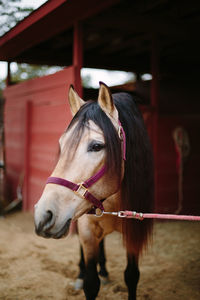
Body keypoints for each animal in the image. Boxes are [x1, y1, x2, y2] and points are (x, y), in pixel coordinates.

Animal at [34, 82, 154, 300]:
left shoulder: (133, 232)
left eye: (97, 146)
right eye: (62, 145)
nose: (43, 215)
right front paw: (85, 276)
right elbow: (91, 283)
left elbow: (132, 276)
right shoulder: (88, 231)